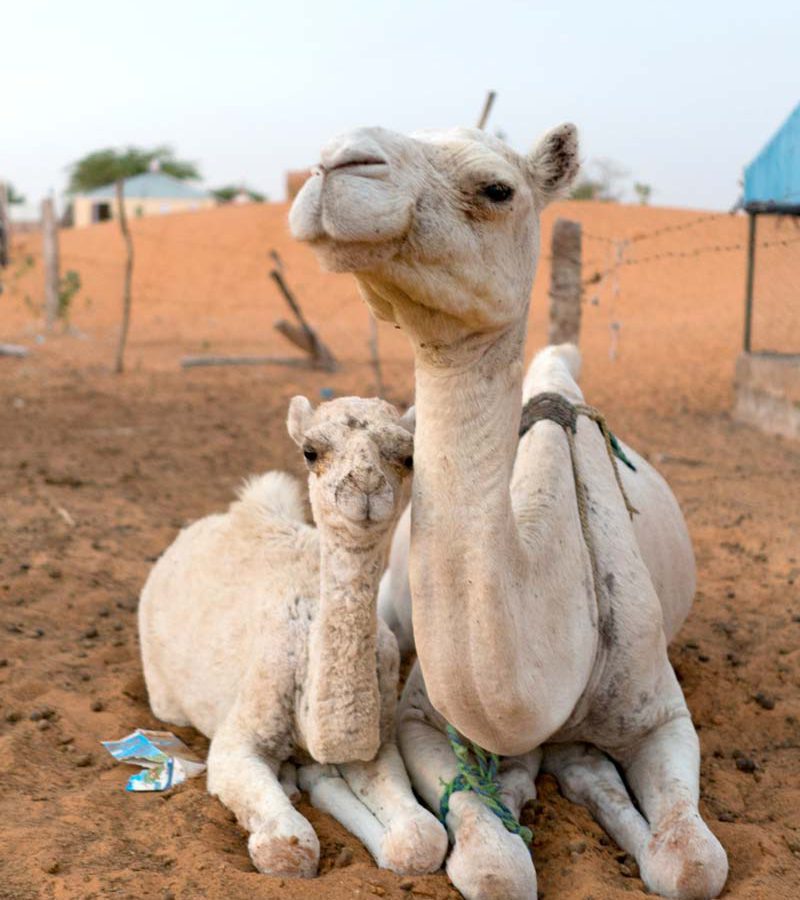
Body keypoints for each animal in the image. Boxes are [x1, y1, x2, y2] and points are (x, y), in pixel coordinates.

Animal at [140, 394, 446, 880]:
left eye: (407, 456)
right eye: (310, 451)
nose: (365, 485)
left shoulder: (378, 742)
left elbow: (422, 839)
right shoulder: (239, 738)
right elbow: (286, 848)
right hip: (164, 695)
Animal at [290, 123, 728, 896]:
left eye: (497, 188)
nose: (335, 163)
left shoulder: (664, 715)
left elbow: (693, 863)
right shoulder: (420, 718)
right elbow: (495, 866)